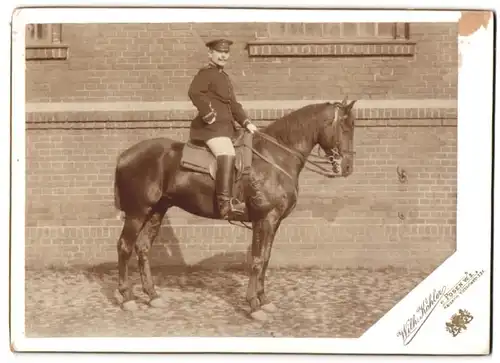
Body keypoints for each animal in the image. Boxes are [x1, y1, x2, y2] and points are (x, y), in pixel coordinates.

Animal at [113, 97, 356, 322]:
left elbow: (265, 259)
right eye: (345, 127)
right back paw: (127, 297)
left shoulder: (274, 222)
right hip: (137, 213)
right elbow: (257, 261)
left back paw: (152, 295)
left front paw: (264, 300)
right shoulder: (264, 219)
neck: (276, 157)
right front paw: (254, 306)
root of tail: (124, 155)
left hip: (156, 211)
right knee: (125, 247)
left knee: (143, 248)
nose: (347, 167)